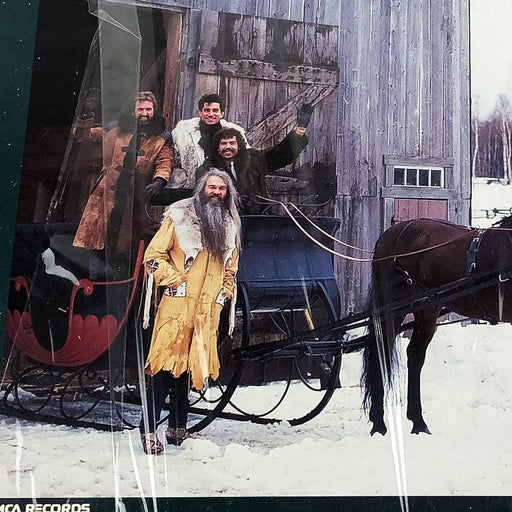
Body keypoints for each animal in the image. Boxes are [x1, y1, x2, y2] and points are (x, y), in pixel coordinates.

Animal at [362, 214, 512, 434]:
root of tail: (390, 235)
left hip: (426, 309)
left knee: (415, 356)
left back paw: (417, 422)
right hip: (394, 309)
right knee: (382, 353)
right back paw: (379, 424)